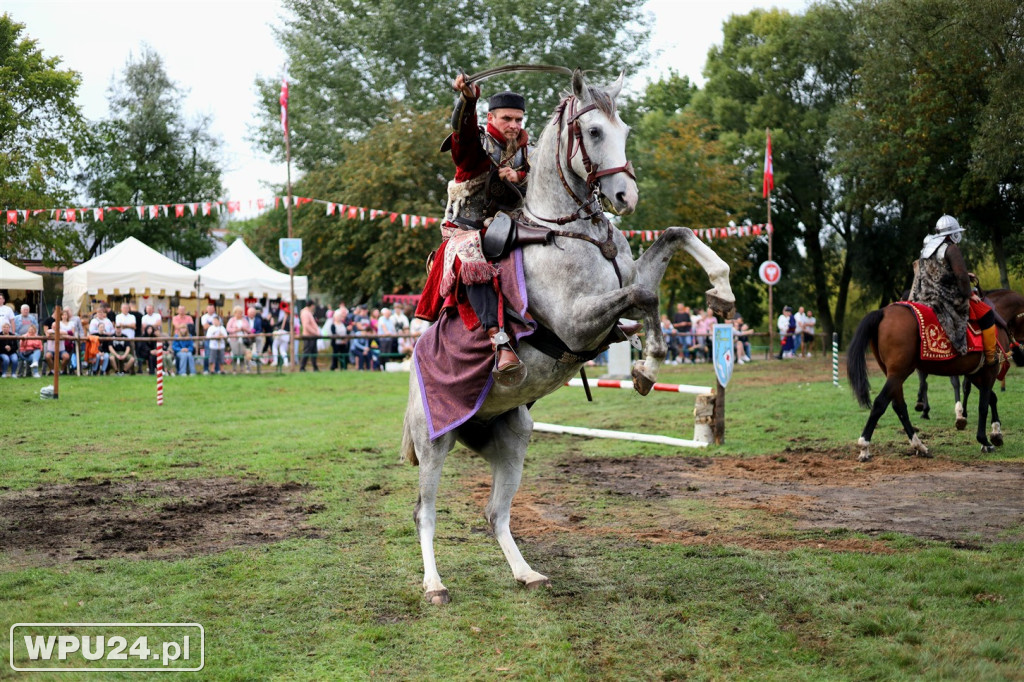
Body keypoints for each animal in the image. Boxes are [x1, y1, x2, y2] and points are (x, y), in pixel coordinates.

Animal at [401, 67, 737, 602]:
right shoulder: (577, 323)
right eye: (594, 131)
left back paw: (526, 573)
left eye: (625, 130)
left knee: (496, 513)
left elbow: (673, 239)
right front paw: (647, 365)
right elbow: (645, 296)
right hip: (435, 443)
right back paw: (435, 585)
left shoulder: (623, 282)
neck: (571, 232)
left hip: (513, 438)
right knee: (424, 513)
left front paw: (721, 290)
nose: (625, 198)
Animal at [843, 303, 1011, 458]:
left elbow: (991, 398)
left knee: (899, 406)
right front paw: (985, 440)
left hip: (893, 374)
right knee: (880, 403)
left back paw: (919, 445)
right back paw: (864, 446)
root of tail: (883, 312)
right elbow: (983, 405)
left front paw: (996, 433)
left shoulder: (974, 373)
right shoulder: (988, 372)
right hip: (898, 373)